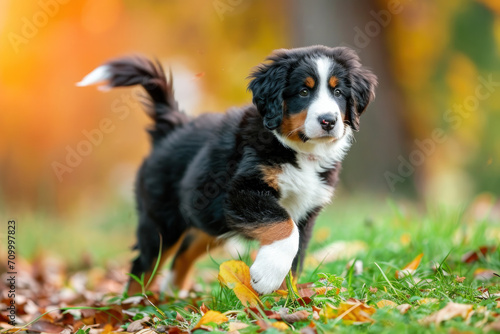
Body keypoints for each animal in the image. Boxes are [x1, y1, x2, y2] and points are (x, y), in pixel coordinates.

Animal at [77, 44, 376, 294]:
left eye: (338, 92)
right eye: (304, 91)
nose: (328, 121)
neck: (299, 150)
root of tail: (173, 126)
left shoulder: (307, 209)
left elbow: (296, 254)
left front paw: (283, 299)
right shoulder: (240, 193)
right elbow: (284, 227)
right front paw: (267, 277)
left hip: (207, 220)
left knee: (183, 254)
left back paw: (172, 295)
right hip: (161, 219)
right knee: (145, 263)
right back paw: (135, 305)